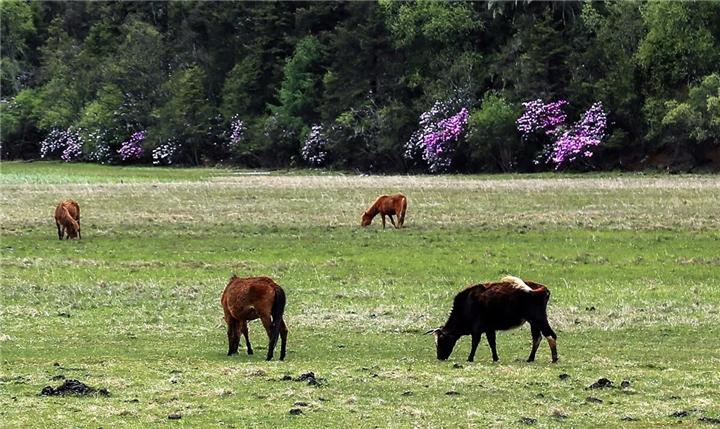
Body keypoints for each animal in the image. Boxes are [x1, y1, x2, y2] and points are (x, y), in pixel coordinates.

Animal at [424, 276, 560, 362]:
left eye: (441, 340)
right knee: (537, 338)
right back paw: (530, 359)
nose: (440, 357)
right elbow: (492, 343)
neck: (467, 304)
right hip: (534, 322)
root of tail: (542, 289)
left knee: (550, 335)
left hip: (539, 319)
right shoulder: (490, 329)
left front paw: (470, 358)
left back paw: (554, 359)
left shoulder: (477, 329)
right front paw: (495, 358)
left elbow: (475, 343)